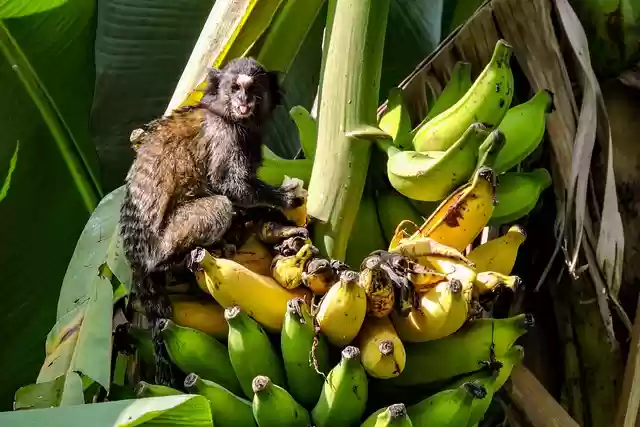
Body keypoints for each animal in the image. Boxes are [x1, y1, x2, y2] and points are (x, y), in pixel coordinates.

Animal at [119, 57, 304, 387]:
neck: (228, 115)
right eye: (235, 89)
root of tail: (135, 259)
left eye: (253, 89)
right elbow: (229, 186)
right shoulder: (225, 136)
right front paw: (285, 199)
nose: (243, 102)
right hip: (167, 240)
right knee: (219, 206)